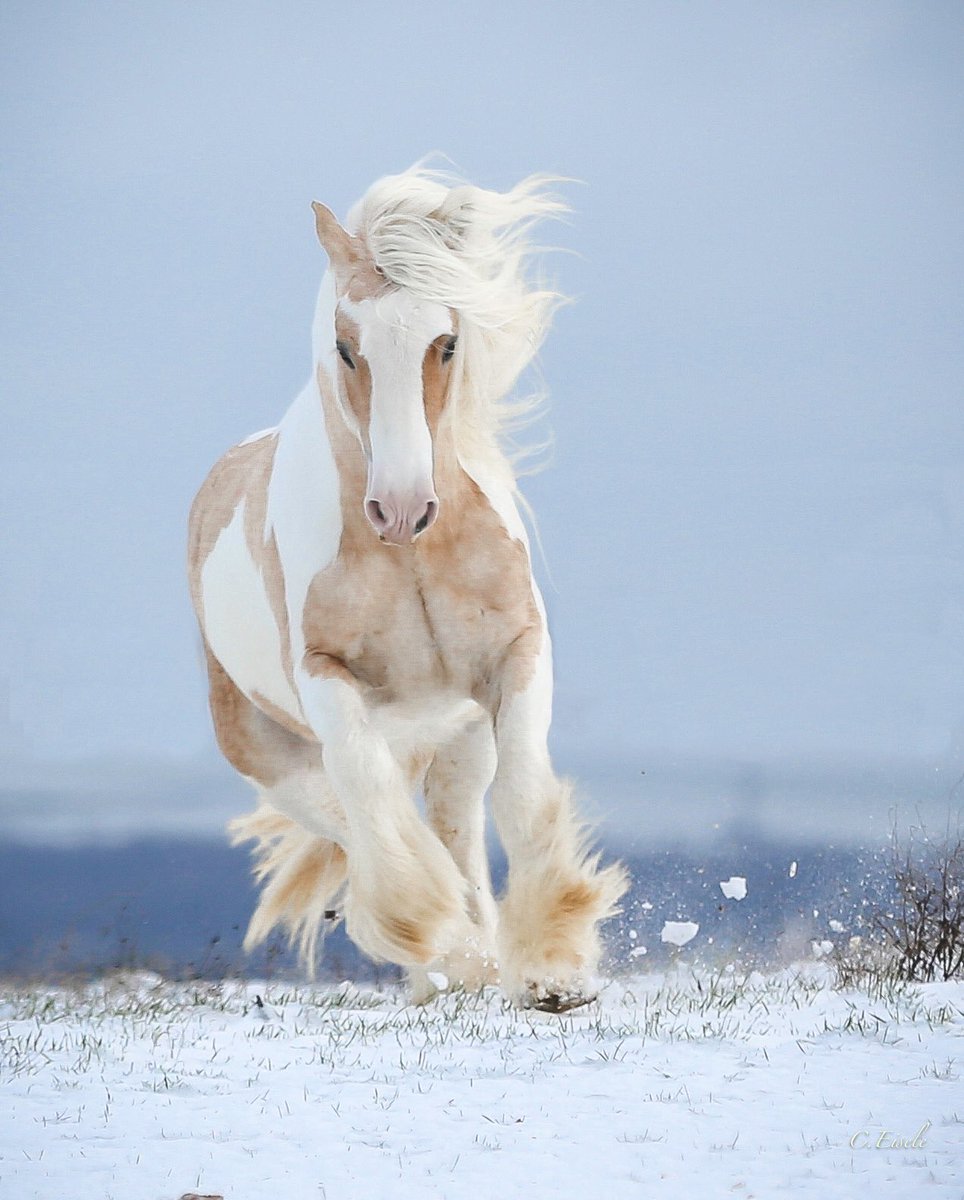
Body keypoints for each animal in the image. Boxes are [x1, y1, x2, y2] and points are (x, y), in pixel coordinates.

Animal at [187, 165, 627, 1011]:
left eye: (446, 341)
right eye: (345, 346)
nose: (399, 509)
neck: (415, 561)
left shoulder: (518, 654)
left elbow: (523, 798)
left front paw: (553, 970)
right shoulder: (327, 677)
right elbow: (374, 804)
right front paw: (453, 947)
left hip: (459, 736)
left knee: (453, 824)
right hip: (273, 752)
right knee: (359, 816)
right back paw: (450, 959)